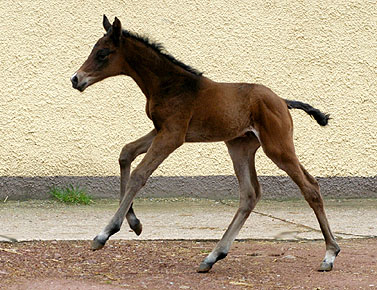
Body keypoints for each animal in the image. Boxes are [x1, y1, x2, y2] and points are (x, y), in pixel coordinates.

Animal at [70, 15, 338, 274]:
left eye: (102, 53)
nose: (76, 79)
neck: (169, 84)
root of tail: (282, 101)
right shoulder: (161, 130)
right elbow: (126, 153)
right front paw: (134, 223)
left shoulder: (172, 135)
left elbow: (139, 174)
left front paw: (105, 233)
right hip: (240, 147)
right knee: (250, 194)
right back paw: (212, 257)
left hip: (277, 148)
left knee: (310, 188)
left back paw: (330, 254)